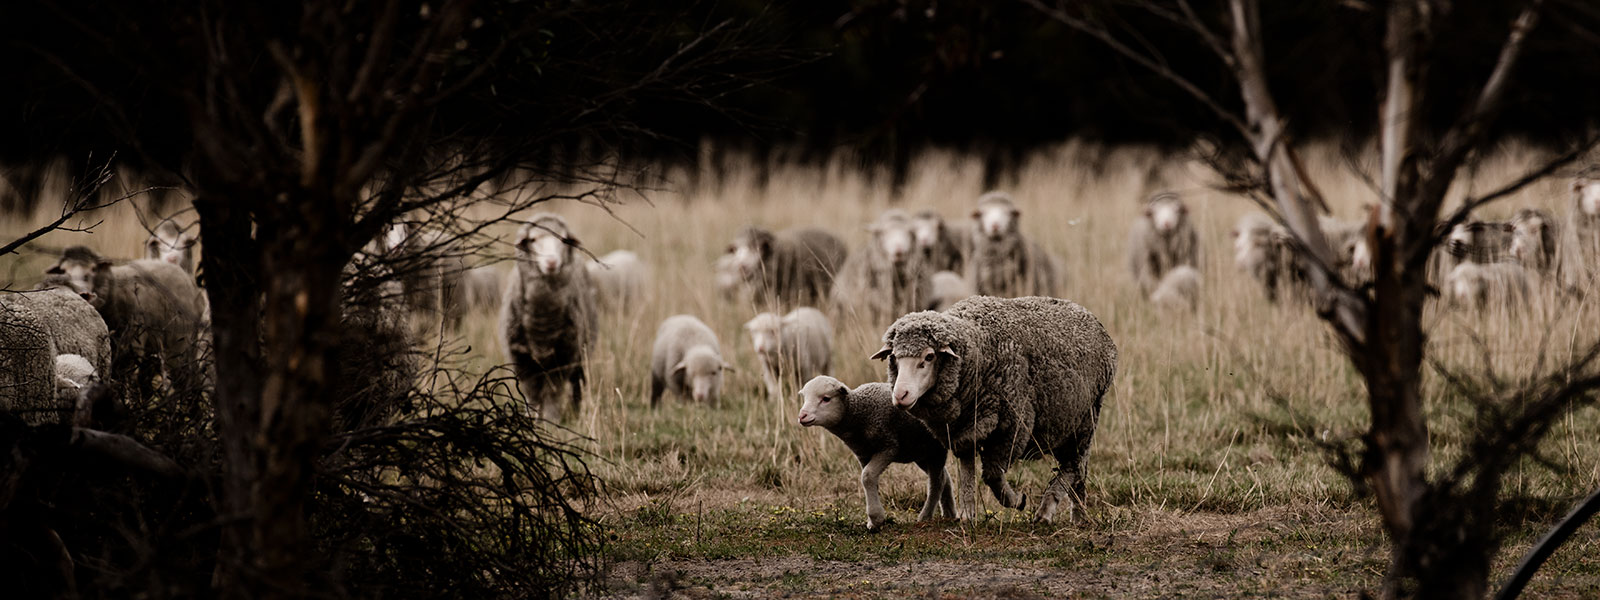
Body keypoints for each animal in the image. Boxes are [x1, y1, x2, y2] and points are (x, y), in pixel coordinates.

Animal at [496, 216, 598, 422]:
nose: (551, 261)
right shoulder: (521, 359)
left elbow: (554, 392)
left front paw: (551, 421)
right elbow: (532, 393)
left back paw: (576, 412)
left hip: (582, 353)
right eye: (533, 240)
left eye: (564, 240)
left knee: (578, 384)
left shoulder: (563, 356)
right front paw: (531, 418)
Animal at [796, 376, 947, 531]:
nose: (802, 416)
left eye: (826, 399)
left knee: (938, 481)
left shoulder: (888, 446)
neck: (859, 415)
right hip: (921, 452)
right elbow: (870, 480)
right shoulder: (863, 454)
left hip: (936, 449)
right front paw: (872, 521)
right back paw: (950, 515)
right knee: (945, 478)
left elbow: (867, 476)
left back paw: (926, 516)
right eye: (804, 398)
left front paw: (876, 518)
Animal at [870, 299, 1120, 524]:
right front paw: (967, 514)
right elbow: (967, 470)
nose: (900, 395)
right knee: (1079, 471)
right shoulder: (964, 429)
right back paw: (1078, 516)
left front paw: (1016, 500)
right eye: (894, 357)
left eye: (929, 357)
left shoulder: (1013, 426)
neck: (977, 347)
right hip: (1065, 424)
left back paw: (1046, 511)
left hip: (1085, 419)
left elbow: (991, 474)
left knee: (1073, 466)